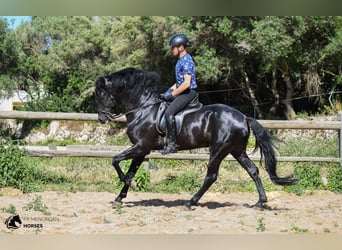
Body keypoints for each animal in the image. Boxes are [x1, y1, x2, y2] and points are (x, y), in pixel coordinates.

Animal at [94, 67, 296, 210]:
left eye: (101, 93)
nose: (102, 118)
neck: (143, 109)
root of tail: (244, 117)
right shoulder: (142, 150)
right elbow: (129, 171)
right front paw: (120, 197)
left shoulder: (141, 146)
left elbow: (115, 160)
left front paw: (132, 186)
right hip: (237, 151)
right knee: (253, 170)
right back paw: (260, 202)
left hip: (218, 150)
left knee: (211, 176)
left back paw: (191, 202)